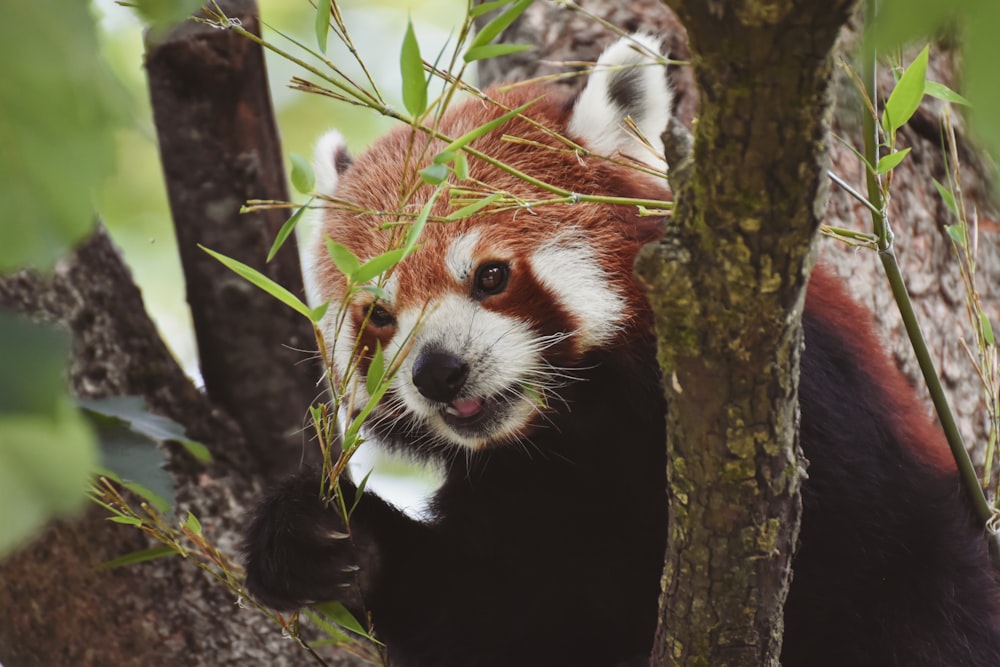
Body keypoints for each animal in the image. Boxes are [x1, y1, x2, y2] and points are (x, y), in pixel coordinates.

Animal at [244, 34, 1000, 664]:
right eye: (380, 315)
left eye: (490, 276)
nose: (437, 372)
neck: (579, 433)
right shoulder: (518, 498)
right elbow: (493, 613)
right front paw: (321, 536)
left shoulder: (822, 412)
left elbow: (851, 564)